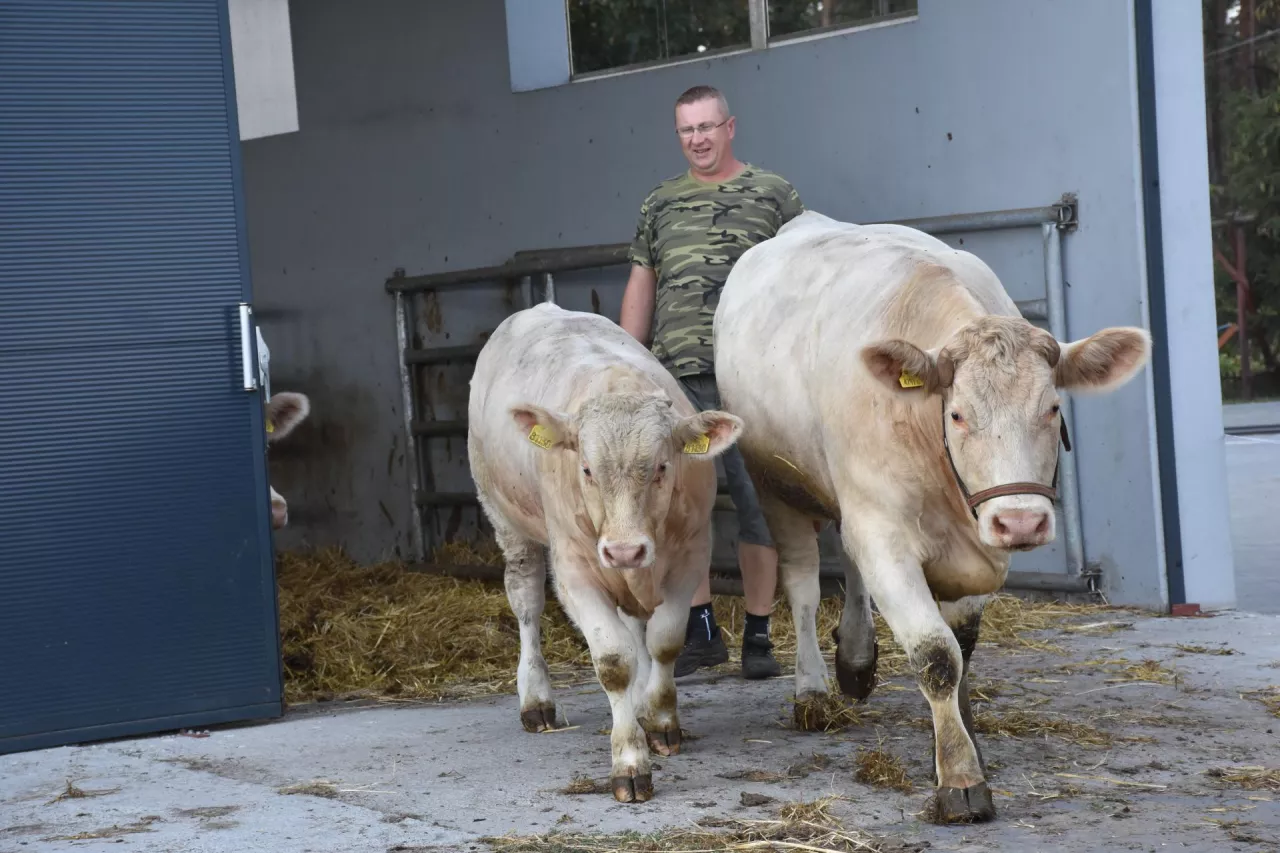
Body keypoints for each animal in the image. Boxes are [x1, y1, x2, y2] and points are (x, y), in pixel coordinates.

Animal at [465, 302, 747, 799]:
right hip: (506, 521)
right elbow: (614, 662)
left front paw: (660, 720)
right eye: (586, 469)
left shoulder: (691, 556)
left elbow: (664, 642)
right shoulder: (575, 570)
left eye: (662, 466)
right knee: (526, 602)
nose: (624, 551)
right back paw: (535, 697)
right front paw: (630, 760)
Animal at [716, 208, 1157, 819]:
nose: (1021, 522)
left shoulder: (971, 551)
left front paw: (956, 746)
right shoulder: (884, 533)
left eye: (1052, 407)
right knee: (802, 583)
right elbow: (936, 656)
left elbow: (963, 649)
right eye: (957, 414)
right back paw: (812, 692)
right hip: (776, 485)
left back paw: (856, 660)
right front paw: (961, 777)